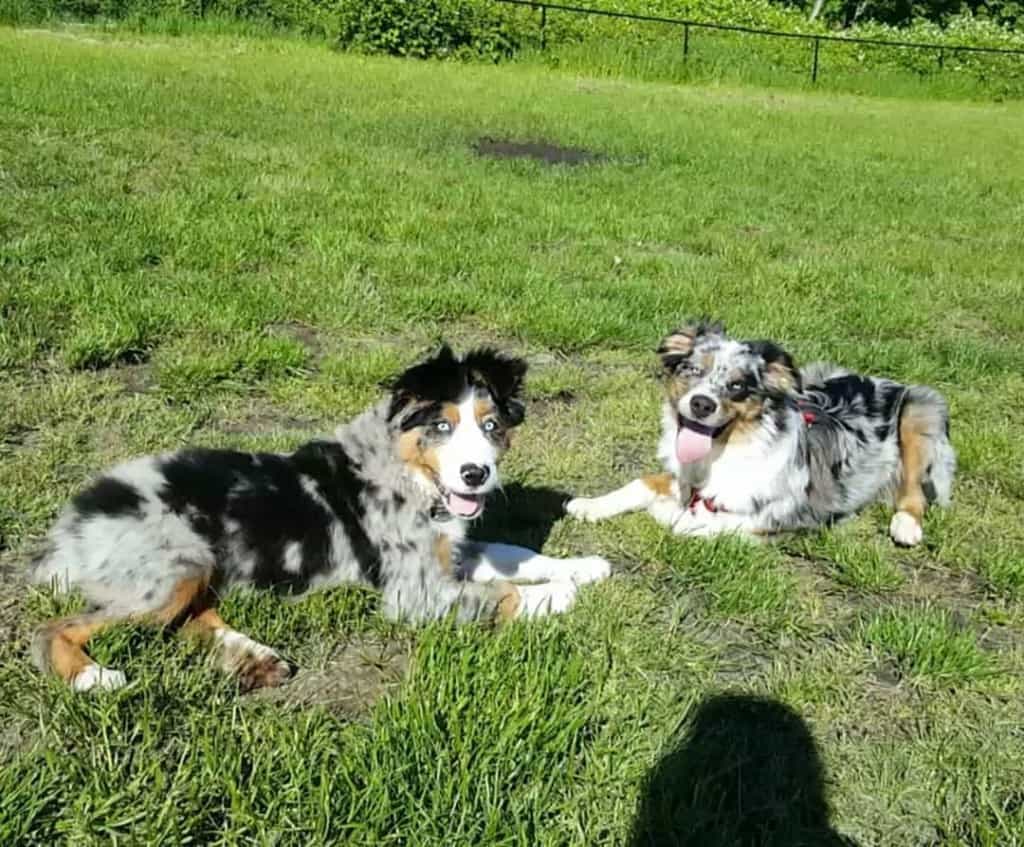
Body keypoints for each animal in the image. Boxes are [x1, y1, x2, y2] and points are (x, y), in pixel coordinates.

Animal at [29, 346, 606, 696]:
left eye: (491, 427)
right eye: (441, 426)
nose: (476, 475)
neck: (405, 472)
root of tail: (72, 523)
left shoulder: (448, 554)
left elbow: (517, 554)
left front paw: (587, 565)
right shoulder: (413, 594)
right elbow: (505, 594)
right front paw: (560, 592)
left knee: (193, 616)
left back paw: (255, 658)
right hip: (171, 567)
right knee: (59, 626)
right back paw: (91, 677)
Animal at [565, 321, 954, 544]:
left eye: (737, 386)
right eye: (692, 370)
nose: (702, 404)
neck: (723, 452)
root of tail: (881, 379)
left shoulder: (778, 514)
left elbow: (691, 524)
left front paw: (670, 515)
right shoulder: (683, 478)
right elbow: (640, 483)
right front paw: (589, 505)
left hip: (921, 411)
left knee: (915, 492)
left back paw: (906, 526)